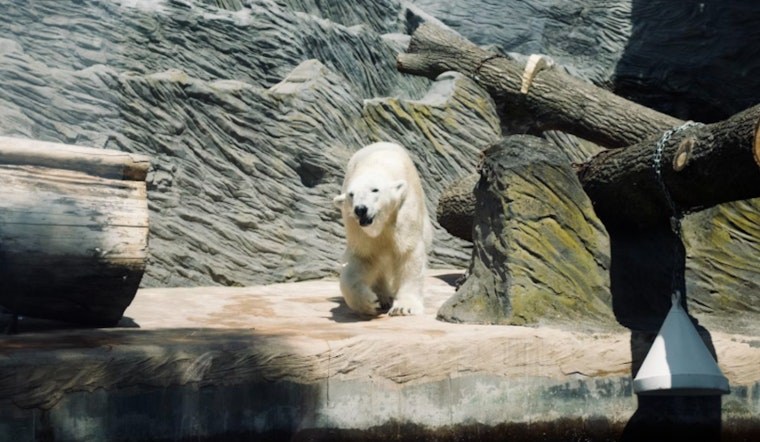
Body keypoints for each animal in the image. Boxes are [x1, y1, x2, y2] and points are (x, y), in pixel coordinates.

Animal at [333, 141, 433, 316]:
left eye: (375, 190)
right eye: (351, 194)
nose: (360, 209)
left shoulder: (404, 210)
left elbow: (408, 253)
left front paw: (404, 307)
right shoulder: (356, 228)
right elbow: (362, 258)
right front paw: (368, 302)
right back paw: (383, 297)